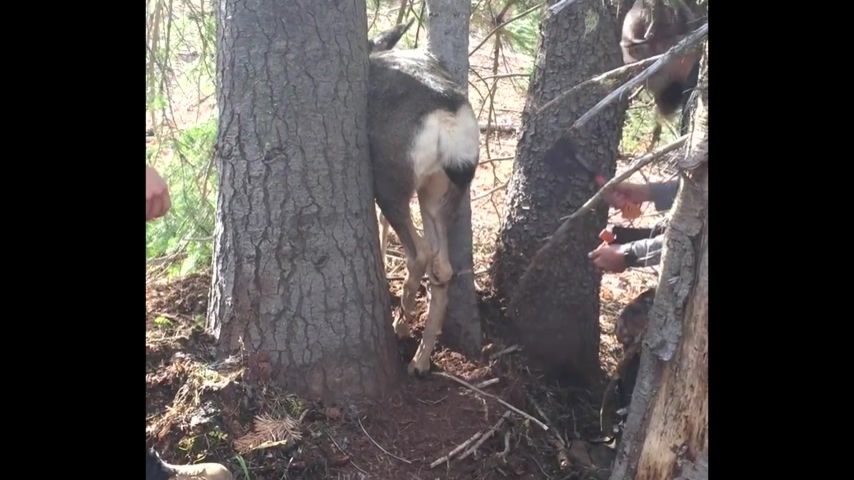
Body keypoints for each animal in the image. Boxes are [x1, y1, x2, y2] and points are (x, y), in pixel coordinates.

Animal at [366, 20, 482, 376]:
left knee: (419, 252)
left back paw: (402, 322)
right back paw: (419, 360)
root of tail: (449, 120)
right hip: (440, 189)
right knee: (442, 265)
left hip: (392, 180)